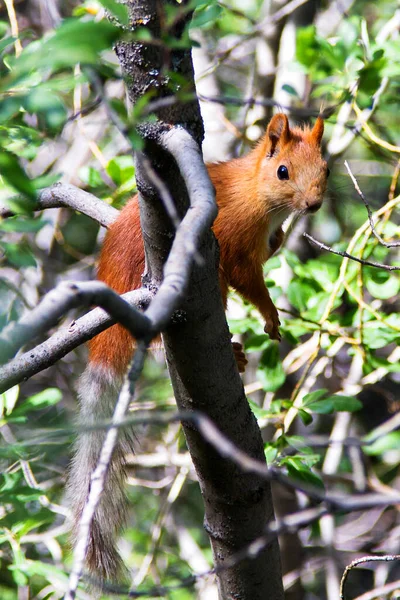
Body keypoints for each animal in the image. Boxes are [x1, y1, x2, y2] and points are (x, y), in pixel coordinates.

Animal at [68, 112, 328, 580]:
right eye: (283, 171)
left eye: (327, 169)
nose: (314, 205)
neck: (255, 193)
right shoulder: (238, 247)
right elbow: (249, 280)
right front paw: (270, 316)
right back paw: (235, 352)